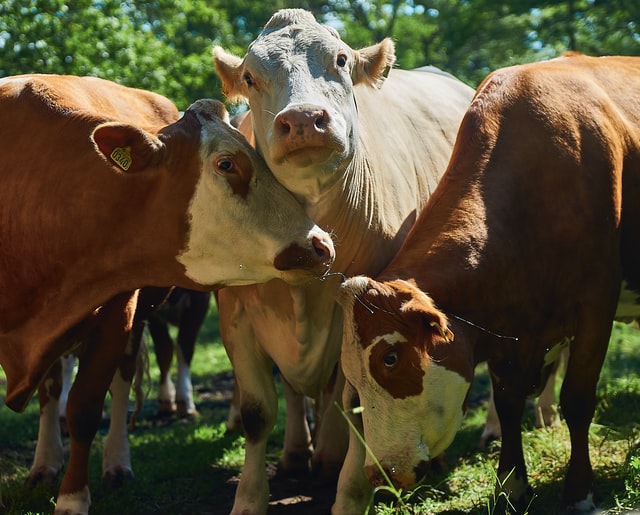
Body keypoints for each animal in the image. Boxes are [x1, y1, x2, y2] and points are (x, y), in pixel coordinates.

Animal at [0, 73, 338, 515]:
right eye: (227, 164)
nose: (321, 243)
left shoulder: (117, 311)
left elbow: (85, 407)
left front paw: (72, 500)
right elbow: (57, 392)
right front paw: (49, 468)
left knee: (121, 380)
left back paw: (117, 463)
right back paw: (46, 462)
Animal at [212, 8, 472, 515]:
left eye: (340, 59)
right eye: (250, 77)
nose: (303, 119)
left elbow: (357, 406)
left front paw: (350, 491)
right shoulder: (235, 312)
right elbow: (258, 412)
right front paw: (249, 498)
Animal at [336, 53, 640, 515]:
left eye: (390, 358)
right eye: (350, 373)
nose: (379, 473)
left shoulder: (594, 306)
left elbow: (577, 398)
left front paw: (579, 491)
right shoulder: (502, 327)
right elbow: (508, 402)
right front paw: (512, 485)